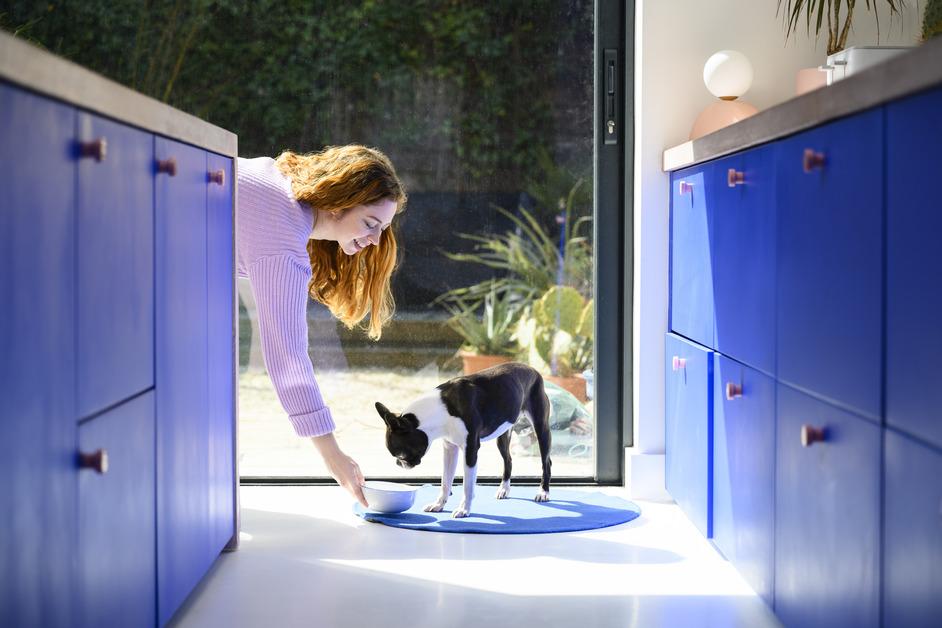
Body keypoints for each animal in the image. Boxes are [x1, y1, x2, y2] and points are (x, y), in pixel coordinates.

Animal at [376, 360, 552, 516]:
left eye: (401, 455)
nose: (399, 464)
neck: (442, 410)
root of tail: (532, 369)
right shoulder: (450, 449)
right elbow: (445, 481)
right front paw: (438, 505)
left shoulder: (470, 450)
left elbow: (468, 485)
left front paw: (464, 509)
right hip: (502, 435)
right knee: (508, 460)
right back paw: (504, 489)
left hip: (541, 428)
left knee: (546, 462)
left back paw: (543, 492)